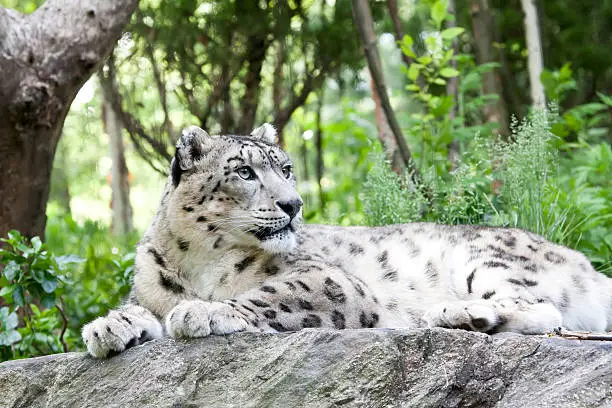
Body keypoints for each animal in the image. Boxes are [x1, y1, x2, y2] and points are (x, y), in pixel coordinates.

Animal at [82, 123, 612, 356]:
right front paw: (108, 326)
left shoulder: (329, 281)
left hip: (487, 256)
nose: (293, 204)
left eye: (286, 168)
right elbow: (138, 307)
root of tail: (587, 264)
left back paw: (455, 312)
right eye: (245, 172)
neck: (198, 260)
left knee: (545, 310)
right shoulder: (148, 288)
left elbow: (268, 295)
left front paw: (201, 312)